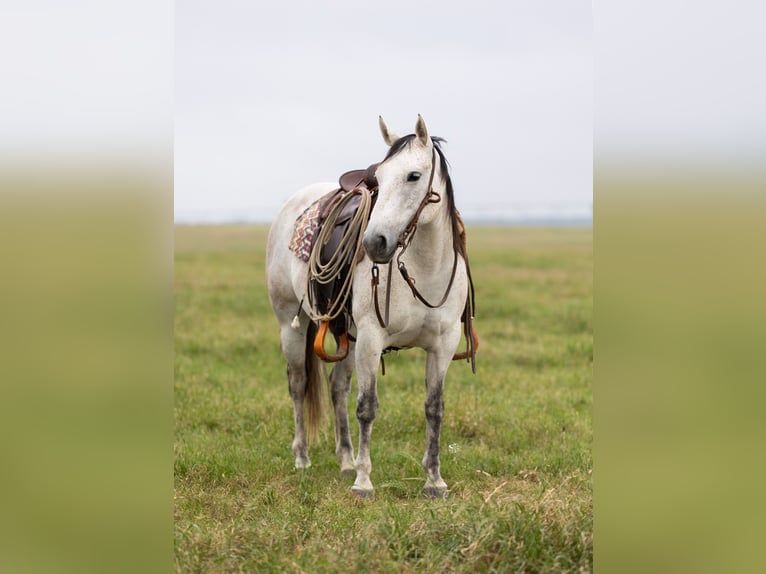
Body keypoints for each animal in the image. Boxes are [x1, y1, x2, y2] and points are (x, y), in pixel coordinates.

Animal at [268, 115, 476, 498]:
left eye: (413, 176)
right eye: (378, 177)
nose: (375, 242)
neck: (424, 268)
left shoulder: (443, 344)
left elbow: (434, 408)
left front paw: (434, 480)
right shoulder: (370, 339)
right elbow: (367, 407)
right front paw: (364, 482)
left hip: (346, 337)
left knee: (337, 387)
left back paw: (345, 460)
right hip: (292, 322)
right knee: (299, 384)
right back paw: (302, 457)